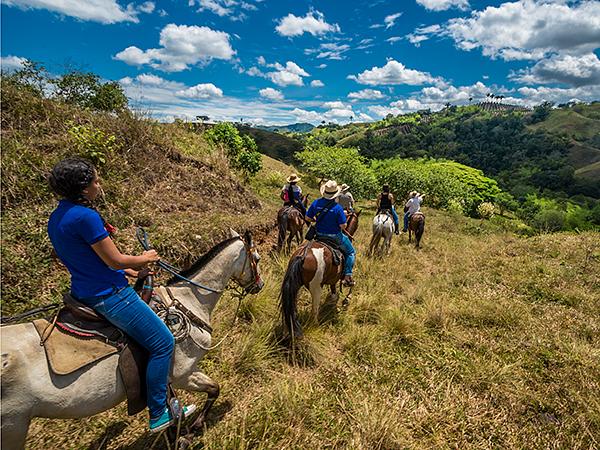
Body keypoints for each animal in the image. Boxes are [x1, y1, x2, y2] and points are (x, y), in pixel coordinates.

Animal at [0, 230, 262, 448]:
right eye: (257, 258)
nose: (259, 285)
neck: (188, 300)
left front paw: (179, 434)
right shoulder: (182, 374)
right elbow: (213, 389)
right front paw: (193, 428)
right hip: (13, 426)